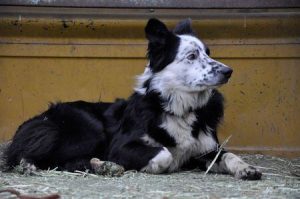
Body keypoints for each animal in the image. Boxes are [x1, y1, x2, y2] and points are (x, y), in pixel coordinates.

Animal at [5, 18, 262, 180]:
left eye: (208, 53)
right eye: (191, 56)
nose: (229, 71)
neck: (179, 107)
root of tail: (37, 119)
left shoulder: (208, 149)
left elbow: (229, 154)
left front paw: (247, 168)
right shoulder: (121, 146)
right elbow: (165, 153)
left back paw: (104, 167)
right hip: (89, 129)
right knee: (39, 157)